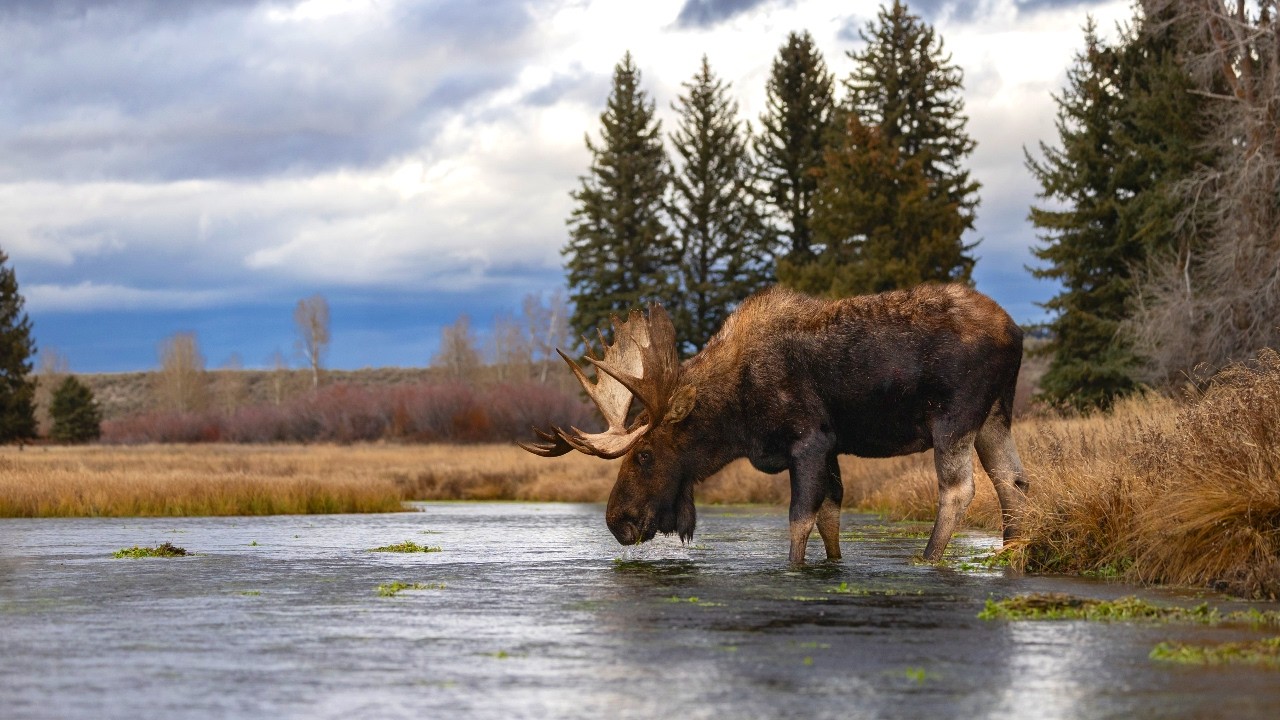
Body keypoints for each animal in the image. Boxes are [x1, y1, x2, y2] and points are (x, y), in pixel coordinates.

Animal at [520, 283, 1028, 564]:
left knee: (960, 489)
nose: (616, 521)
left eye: (644, 454)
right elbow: (830, 518)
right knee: (1013, 480)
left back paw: (925, 560)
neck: (735, 420)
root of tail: (1017, 332)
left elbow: (800, 521)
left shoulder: (810, 440)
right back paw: (1013, 548)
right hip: (994, 416)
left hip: (953, 417)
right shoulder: (832, 448)